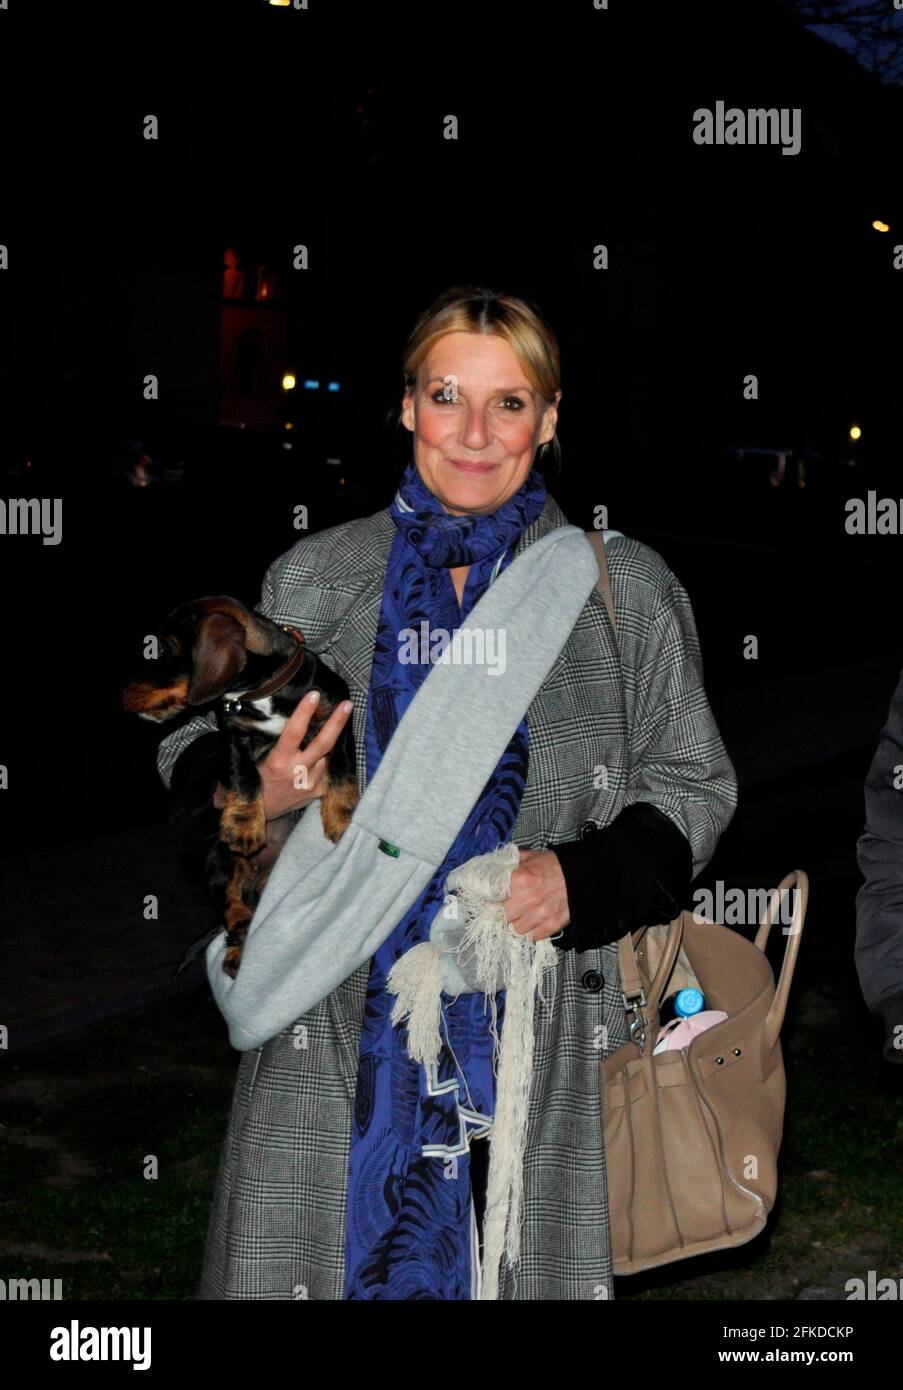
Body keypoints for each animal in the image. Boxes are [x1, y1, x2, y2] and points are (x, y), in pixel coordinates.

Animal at [120, 597, 358, 978]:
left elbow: (342, 767)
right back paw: (235, 950)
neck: (263, 693)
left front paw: (341, 817)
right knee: (233, 913)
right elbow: (245, 776)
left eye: (167, 648)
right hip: (220, 862)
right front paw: (245, 824)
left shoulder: (337, 714)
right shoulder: (235, 735)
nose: (124, 696)